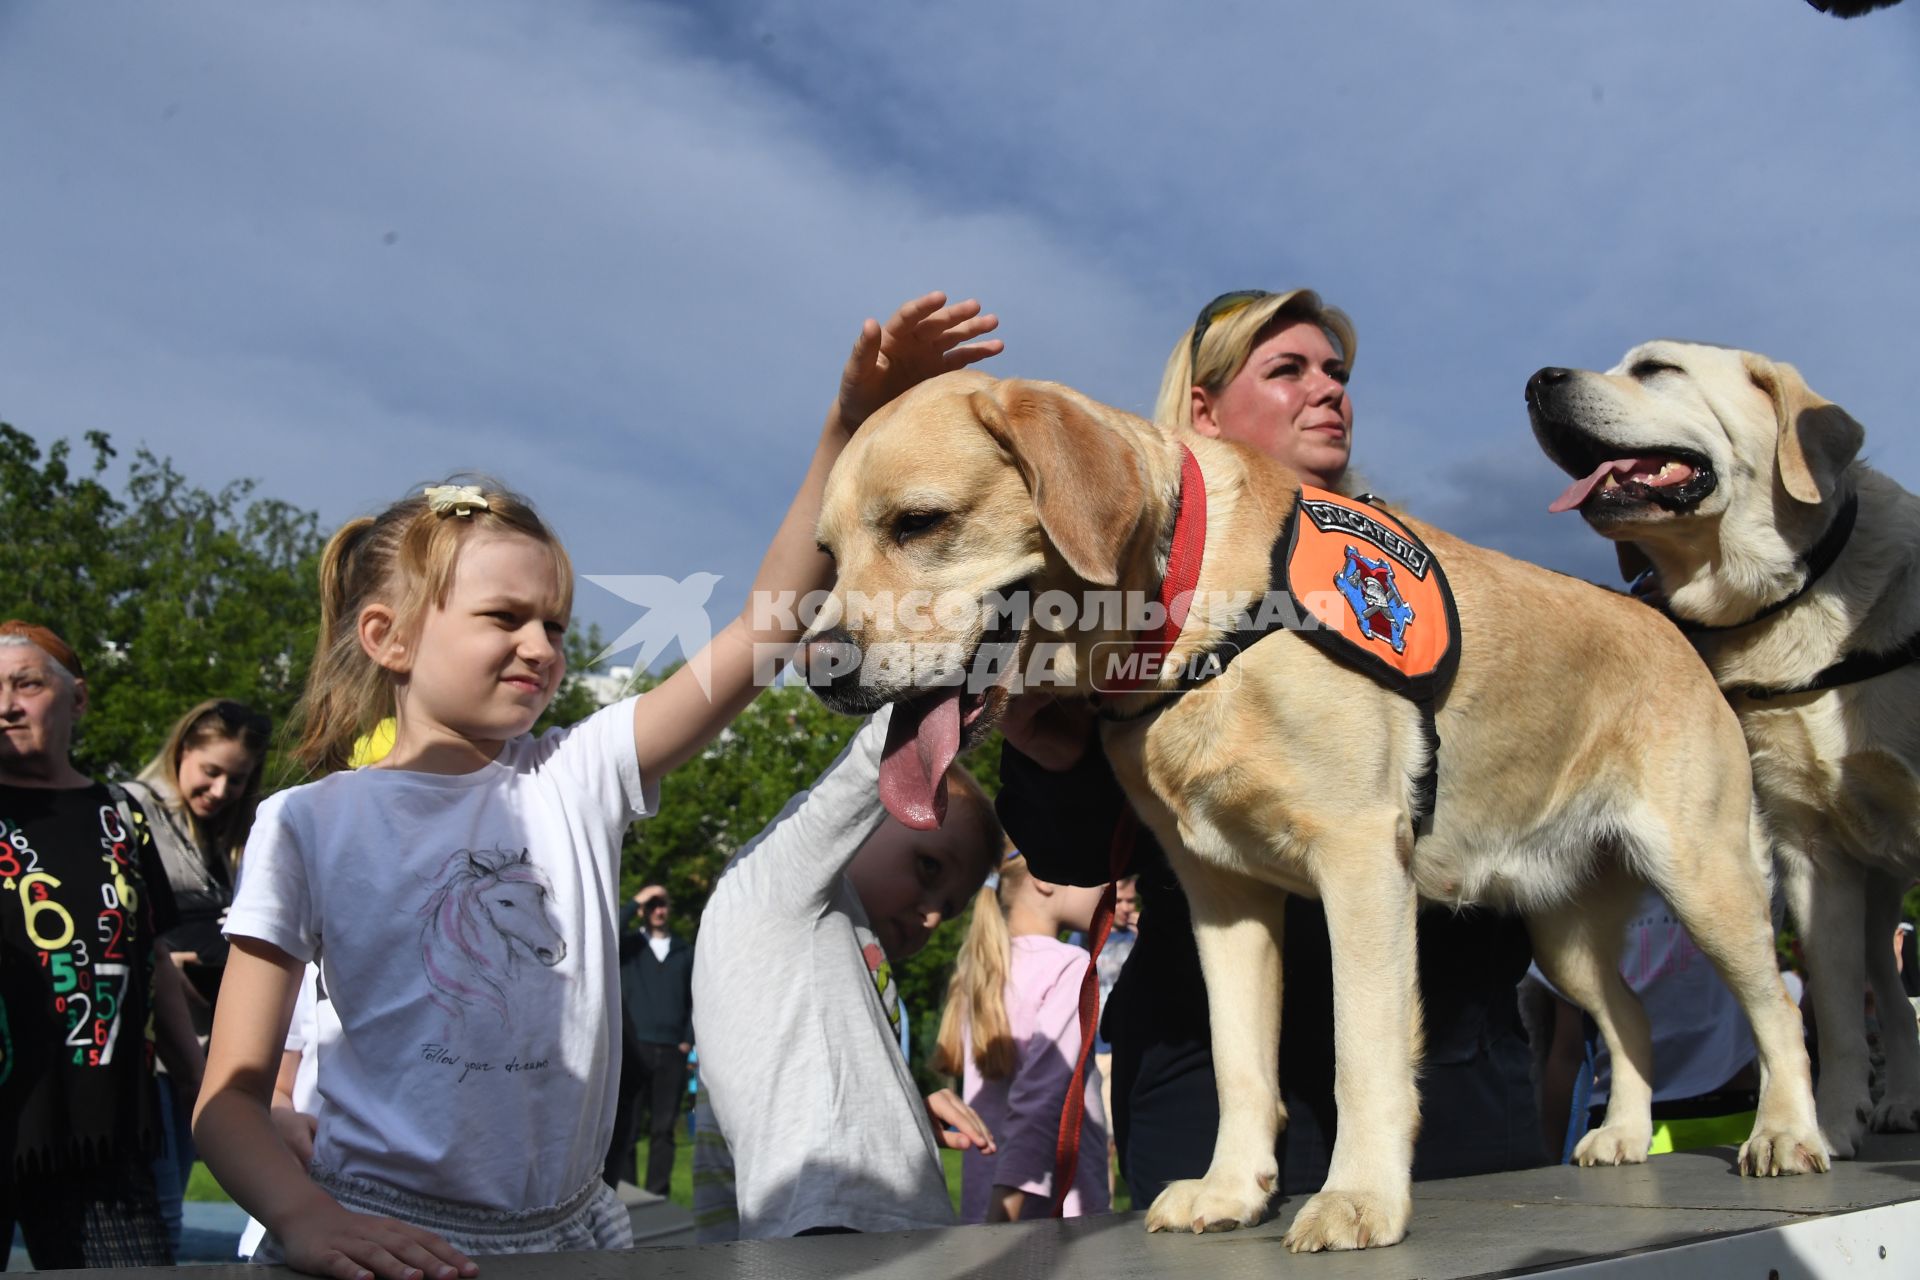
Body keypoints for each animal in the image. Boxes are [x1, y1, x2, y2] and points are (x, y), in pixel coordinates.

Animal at [802, 370, 1820, 1251]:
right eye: (829, 554)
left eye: (920, 522)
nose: (818, 668)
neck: (1192, 614)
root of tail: (1670, 628)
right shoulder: (1220, 895)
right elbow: (1240, 1063)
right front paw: (1231, 1188)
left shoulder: (1362, 860)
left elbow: (1360, 1052)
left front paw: (1359, 1197)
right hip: (1562, 934)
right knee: (1632, 1018)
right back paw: (1626, 1135)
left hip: (1703, 877)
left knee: (1776, 1009)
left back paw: (1787, 1135)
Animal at [1528, 343, 1920, 1159]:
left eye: (1656, 367)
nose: (1538, 380)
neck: (1796, 602)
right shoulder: (1812, 858)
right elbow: (1837, 1018)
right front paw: (1825, 1124)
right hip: (1875, 896)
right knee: (1892, 1001)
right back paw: (1896, 1099)